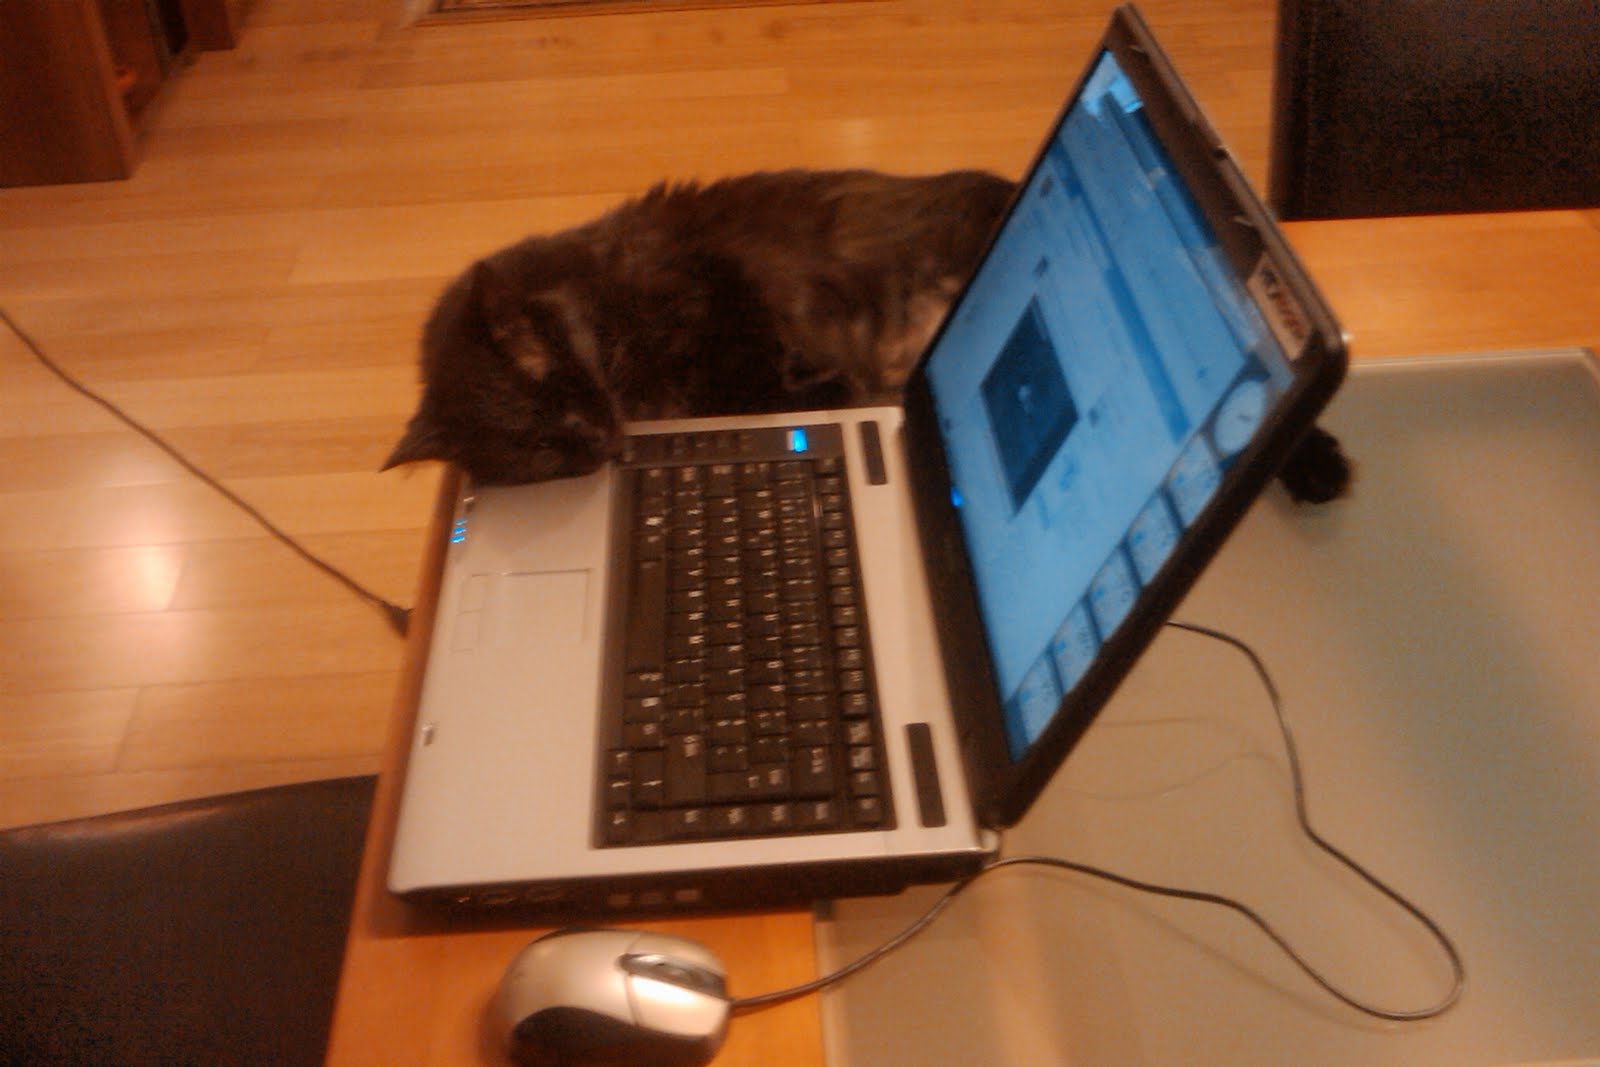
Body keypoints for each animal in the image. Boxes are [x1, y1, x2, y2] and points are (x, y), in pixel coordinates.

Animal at [383, 168, 1349, 500]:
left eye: (555, 381)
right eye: (539, 449)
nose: (600, 443)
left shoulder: (723, 291)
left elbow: (762, 368)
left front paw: (830, 388)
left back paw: (1316, 464)